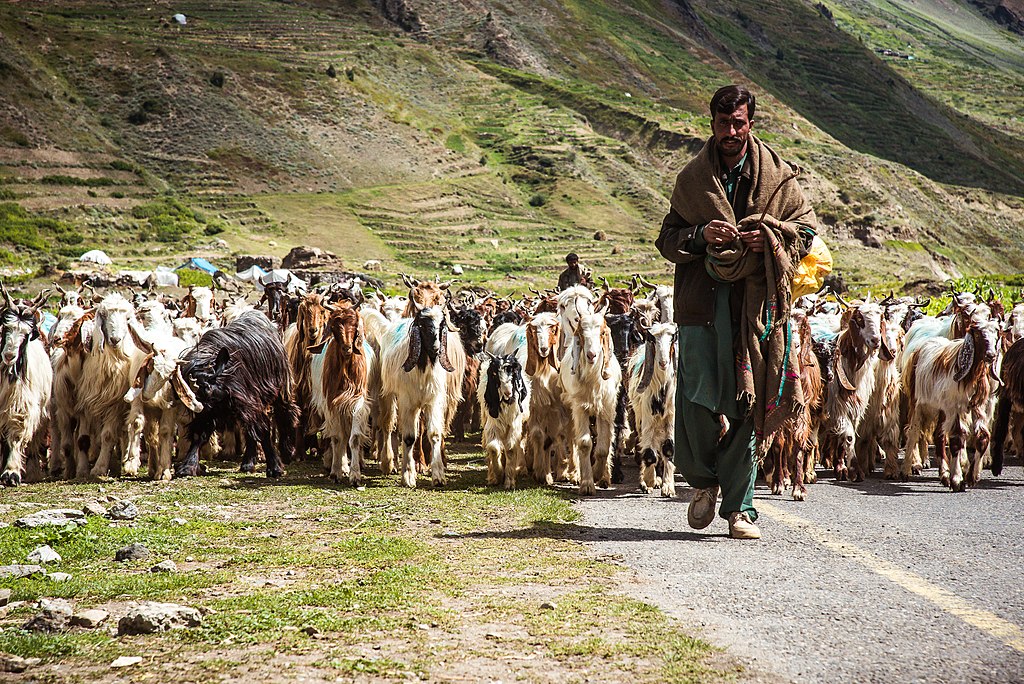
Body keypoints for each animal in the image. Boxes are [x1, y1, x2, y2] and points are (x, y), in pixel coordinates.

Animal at [169, 309, 299, 475]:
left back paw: (287, 452)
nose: (199, 407)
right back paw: (248, 463)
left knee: (285, 414)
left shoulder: (248, 401)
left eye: (208, 389)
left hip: (281, 389)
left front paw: (275, 467)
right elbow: (200, 434)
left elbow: (262, 430)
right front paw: (187, 466)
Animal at [475, 350, 532, 489]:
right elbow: (493, 448)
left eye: (513, 372)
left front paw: (509, 481)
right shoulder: (493, 424)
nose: (508, 393)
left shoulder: (514, 424)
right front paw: (498, 475)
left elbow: (510, 448)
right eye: (495, 373)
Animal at [622, 321, 679, 497]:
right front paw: (648, 481)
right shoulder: (647, 418)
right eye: (653, 339)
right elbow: (648, 452)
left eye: (672, 338)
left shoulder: (672, 418)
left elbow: (669, 449)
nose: (663, 362)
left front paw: (668, 487)